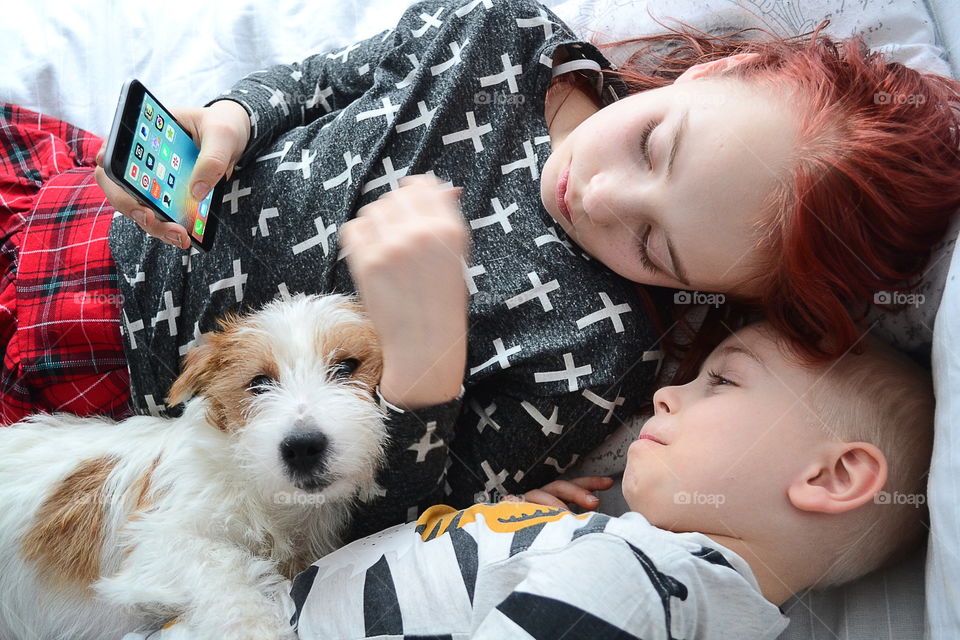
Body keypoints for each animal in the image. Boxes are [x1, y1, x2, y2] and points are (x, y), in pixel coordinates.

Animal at [0, 292, 390, 636]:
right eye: (259, 383)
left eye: (346, 367)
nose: (303, 447)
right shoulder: (156, 544)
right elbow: (225, 568)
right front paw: (255, 628)